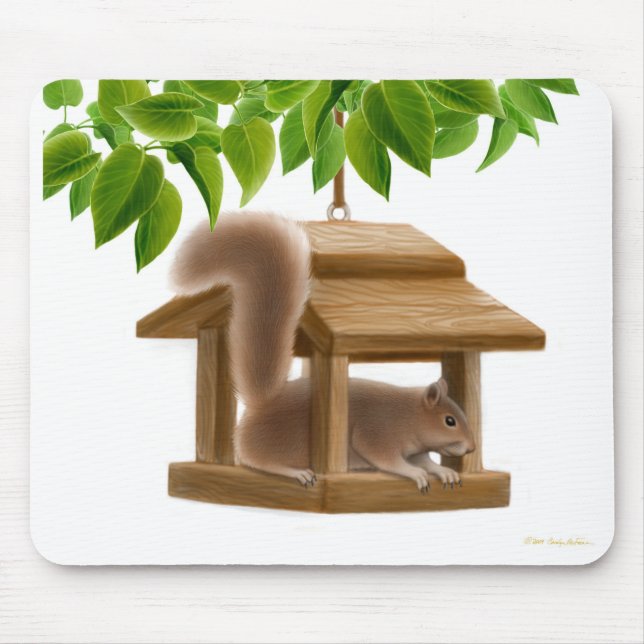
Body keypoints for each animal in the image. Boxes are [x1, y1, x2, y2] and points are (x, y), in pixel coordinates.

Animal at [171, 211, 475, 492]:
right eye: (449, 421)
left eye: (460, 414)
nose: (472, 447)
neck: (410, 415)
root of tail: (261, 405)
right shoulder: (377, 434)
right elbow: (389, 460)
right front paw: (416, 474)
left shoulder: (417, 448)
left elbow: (425, 460)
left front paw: (443, 471)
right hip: (281, 444)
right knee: (257, 460)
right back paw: (298, 473)